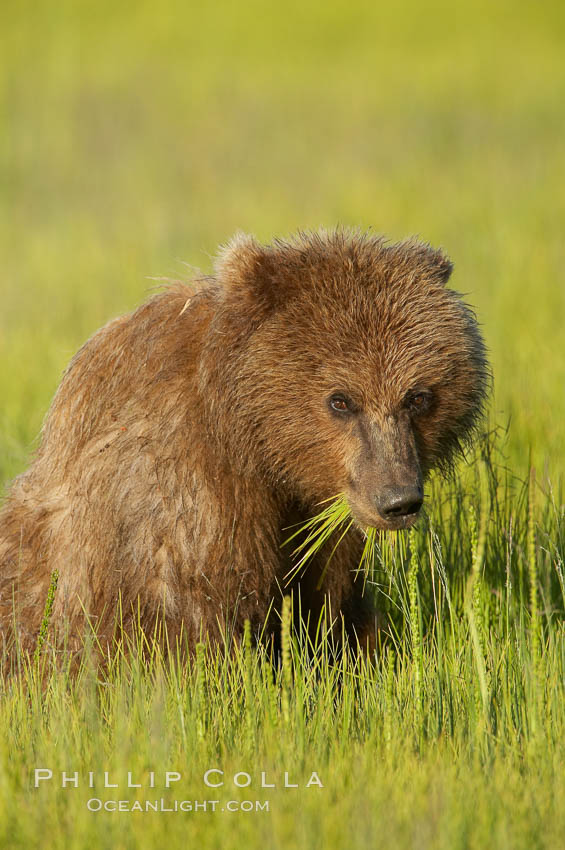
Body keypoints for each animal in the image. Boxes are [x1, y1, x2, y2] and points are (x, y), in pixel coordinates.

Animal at [0, 229, 486, 660]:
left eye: (418, 396)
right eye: (341, 400)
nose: (397, 500)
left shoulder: (322, 518)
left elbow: (332, 616)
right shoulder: (186, 509)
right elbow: (198, 631)